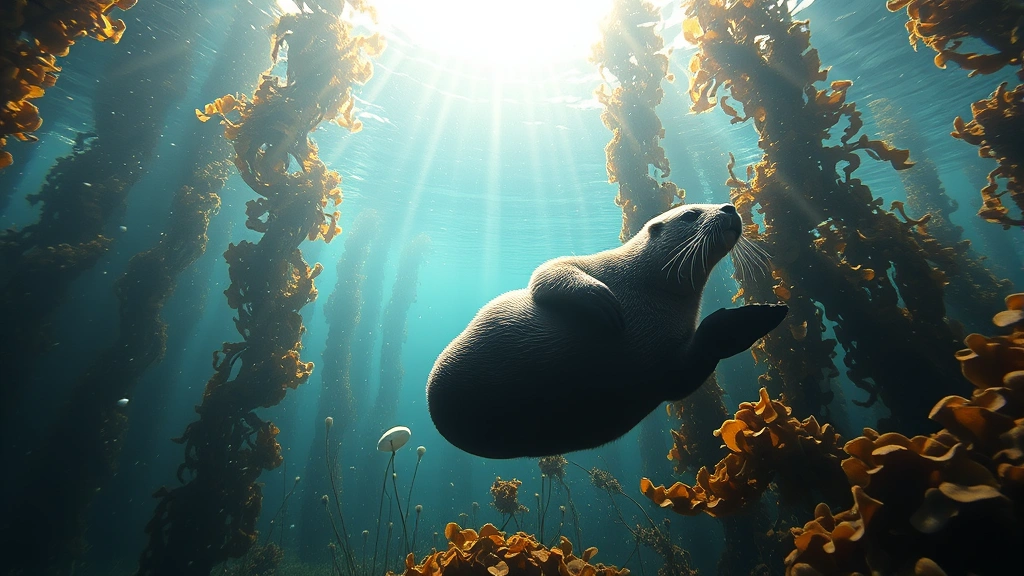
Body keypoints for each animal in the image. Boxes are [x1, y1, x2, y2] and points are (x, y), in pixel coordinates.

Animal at [426, 203, 787, 459]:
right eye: (690, 214)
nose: (729, 207)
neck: (648, 293)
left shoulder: (673, 360)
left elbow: (694, 364)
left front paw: (760, 316)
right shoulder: (594, 265)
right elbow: (548, 272)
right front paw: (601, 300)